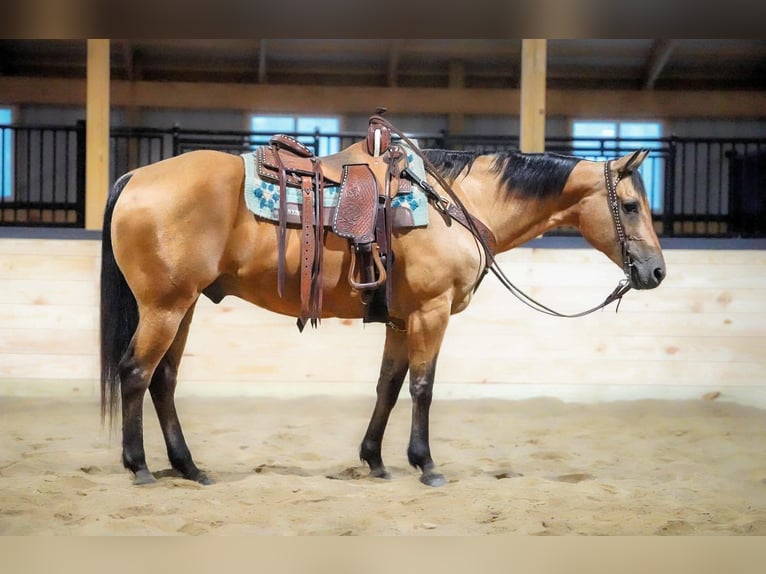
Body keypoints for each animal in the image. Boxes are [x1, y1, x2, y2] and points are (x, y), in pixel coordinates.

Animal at [100, 131, 666, 487]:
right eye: (631, 205)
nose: (657, 272)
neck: (455, 204)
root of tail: (134, 177)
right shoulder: (431, 313)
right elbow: (422, 387)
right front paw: (427, 465)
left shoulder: (401, 317)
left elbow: (389, 386)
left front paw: (374, 460)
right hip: (165, 307)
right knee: (136, 372)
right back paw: (140, 467)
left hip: (184, 307)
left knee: (163, 379)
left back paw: (189, 467)